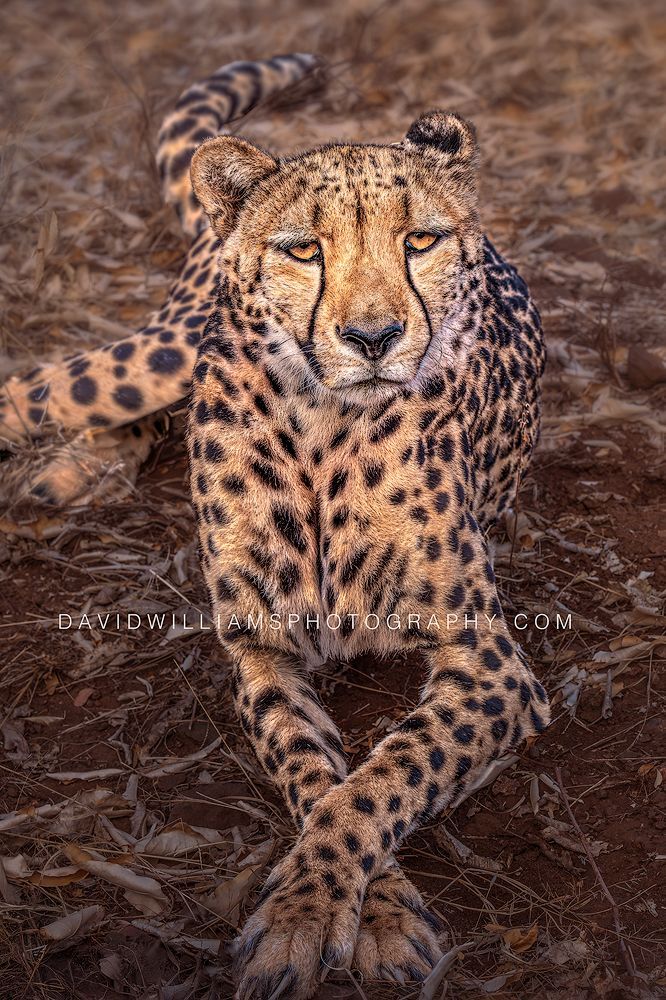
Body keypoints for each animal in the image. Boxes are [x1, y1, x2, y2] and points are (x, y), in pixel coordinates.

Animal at [0, 54, 550, 999]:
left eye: (421, 241)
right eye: (304, 249)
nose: (375, 336)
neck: (325, 427)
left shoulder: (492, 665)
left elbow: (380, 777)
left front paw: (338, 914)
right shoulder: (260, 650)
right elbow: (316, 774)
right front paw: (334, 915)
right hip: (162, 352)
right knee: (35, 390)